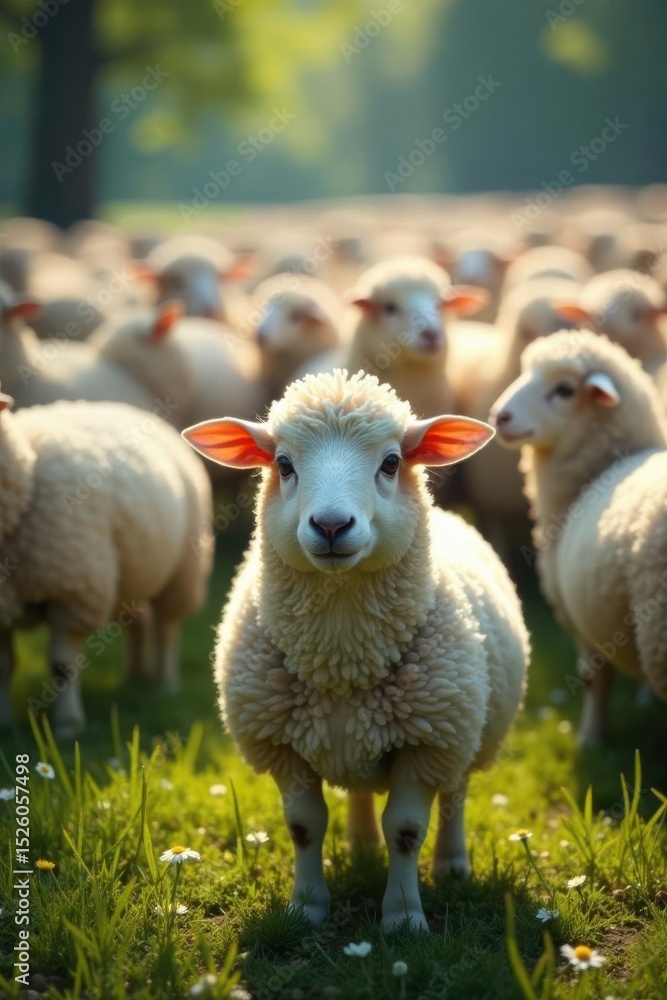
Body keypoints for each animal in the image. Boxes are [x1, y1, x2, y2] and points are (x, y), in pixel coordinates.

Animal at [0, 391, 213, 738]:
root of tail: (131, 409)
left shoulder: (72, 595)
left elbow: (62, 666)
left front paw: (69, 725)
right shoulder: (3, 607)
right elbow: (4, 667)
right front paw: (4, 723)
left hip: (183, 568)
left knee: (166, 628)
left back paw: (164, 683)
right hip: (133, 571)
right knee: (140, 622)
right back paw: (134, 676)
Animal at [183, 369, 529, 932]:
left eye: (390, 462)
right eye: (284, 464)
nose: (330, 526)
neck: (343, 659)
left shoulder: (426, 742)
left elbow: (406, 830)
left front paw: (404, 917)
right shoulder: (283, 745)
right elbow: (303, 827)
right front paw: (306, 906)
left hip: (467, 731)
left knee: (454, 798)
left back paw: (452, 865)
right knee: (364, 791)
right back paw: (363, 847)